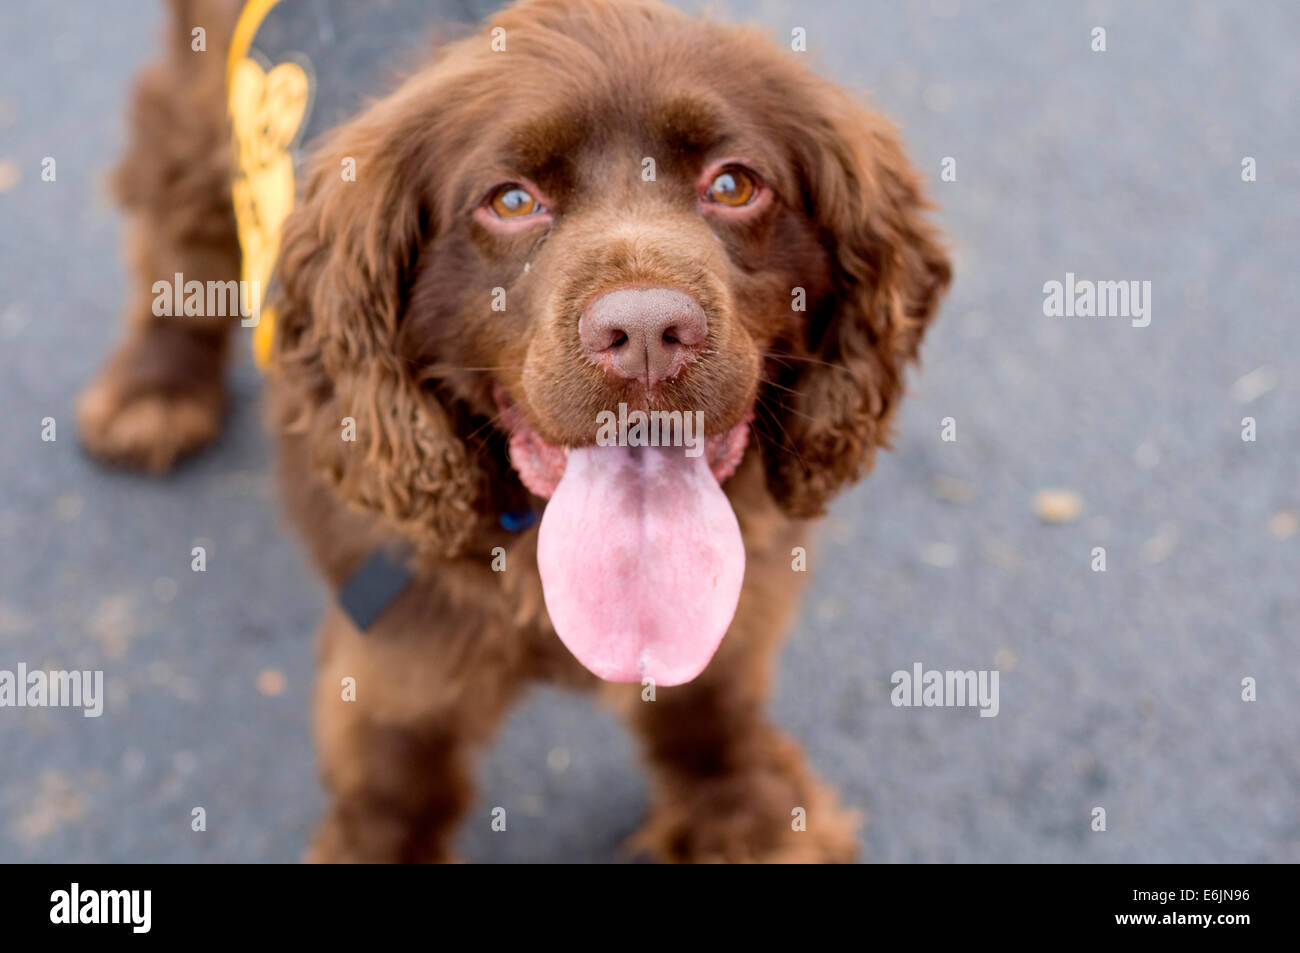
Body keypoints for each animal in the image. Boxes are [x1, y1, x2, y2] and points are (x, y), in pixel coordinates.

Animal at [83, 0, 956, 863]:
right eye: (510, 200)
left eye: (735, 184)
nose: (648, 332)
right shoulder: (397, 641)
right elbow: (394, 775)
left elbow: (709, 699)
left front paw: (748, 814)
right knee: (178, 223)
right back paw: (154, 391)